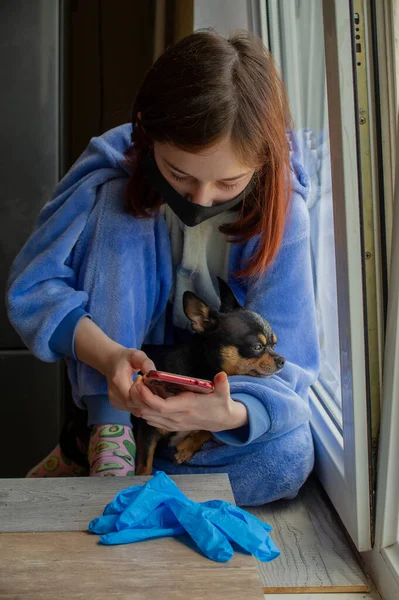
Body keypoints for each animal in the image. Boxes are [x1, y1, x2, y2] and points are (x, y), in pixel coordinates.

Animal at [57, 278, 286, 476]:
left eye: (274, 344)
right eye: (257, 347)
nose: (282, 360)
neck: (203, 367)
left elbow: (211, 428)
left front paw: (186, 446)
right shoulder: (148, 430)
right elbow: (144, 464)